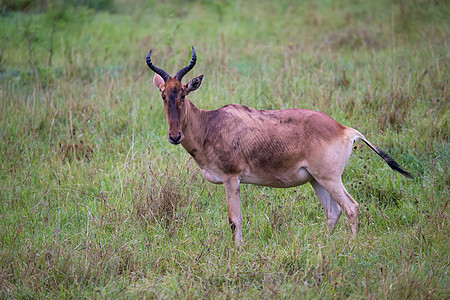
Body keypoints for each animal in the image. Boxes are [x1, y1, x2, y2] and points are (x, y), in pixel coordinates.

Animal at [144, 47, 412, 246]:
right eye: (164, 95)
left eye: (183, 94)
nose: (175, 136)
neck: (211, 123)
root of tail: (345, 129)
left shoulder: (232, 179)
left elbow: (234, 219)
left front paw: (238, 252)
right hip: (316, 180)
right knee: (332, 212)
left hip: (330, 178)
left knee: (351, 208)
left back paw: (351, 247)